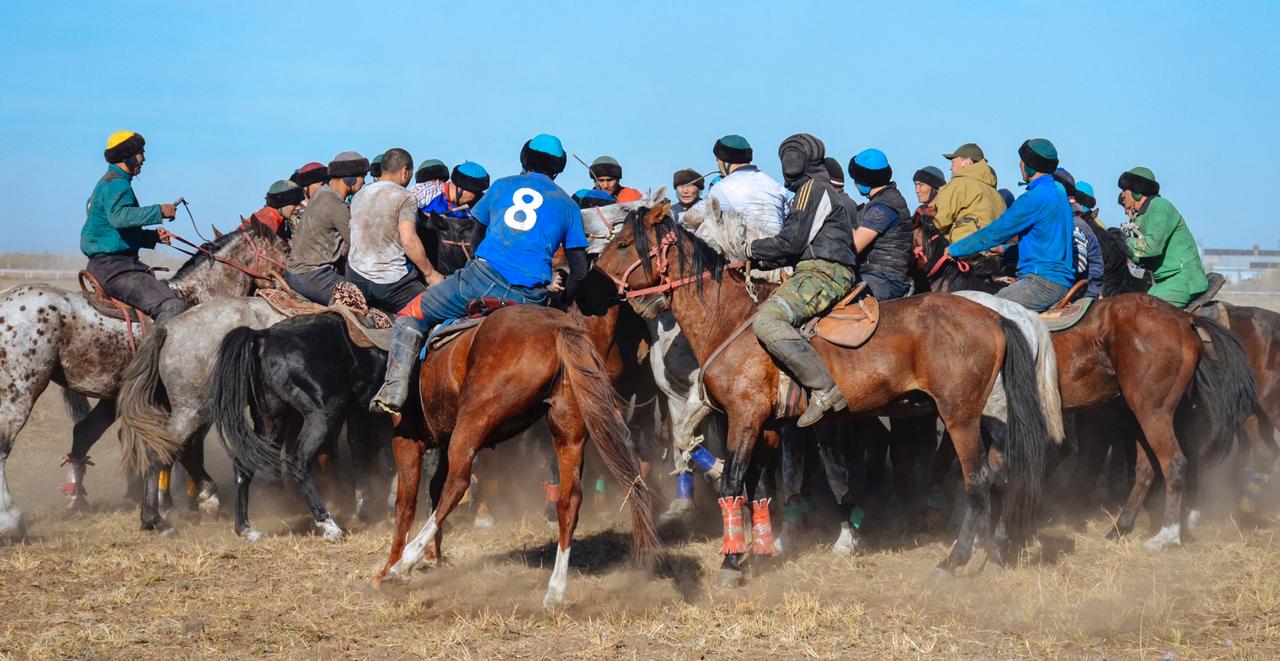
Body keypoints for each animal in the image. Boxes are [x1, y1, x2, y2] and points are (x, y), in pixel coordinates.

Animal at [0, 217, 285, 538]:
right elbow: (183, 447)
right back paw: (11, 519)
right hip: (20, 389)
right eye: (284, 246)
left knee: (82, 433)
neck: (200, 299)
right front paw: (192, 498)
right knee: (4, 443)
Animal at [368, 301, 650, 609]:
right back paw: (555, 591)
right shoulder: (441, 442)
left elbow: (406, 504)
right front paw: (434, 556)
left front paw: (387, 570)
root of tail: (557, 328)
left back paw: (402, 565)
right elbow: (431, 491)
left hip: (474, 418)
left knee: (457, 484)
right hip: (568, 430)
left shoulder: (406, 439)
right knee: (569, 501)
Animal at [593, 202, 1054, 584]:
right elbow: (758, 486)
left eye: (622, 243)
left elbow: (733, 483)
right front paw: (757, 550)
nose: (592, 284)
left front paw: (730, 561)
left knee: (976, 483)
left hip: (960, 417)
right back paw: (994, 555)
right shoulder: (767, 425)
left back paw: (954, 561)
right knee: (1001, 477)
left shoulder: (744, 417)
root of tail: (995, 316)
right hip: (990, 419)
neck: (731, 321)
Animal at [916, 216, 1254, 548]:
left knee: (1174, 463)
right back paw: (1123, 525)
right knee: (1148, 466)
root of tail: (1186, 320)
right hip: (1143, 412)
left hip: (1153, 411)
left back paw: (1167, 536)